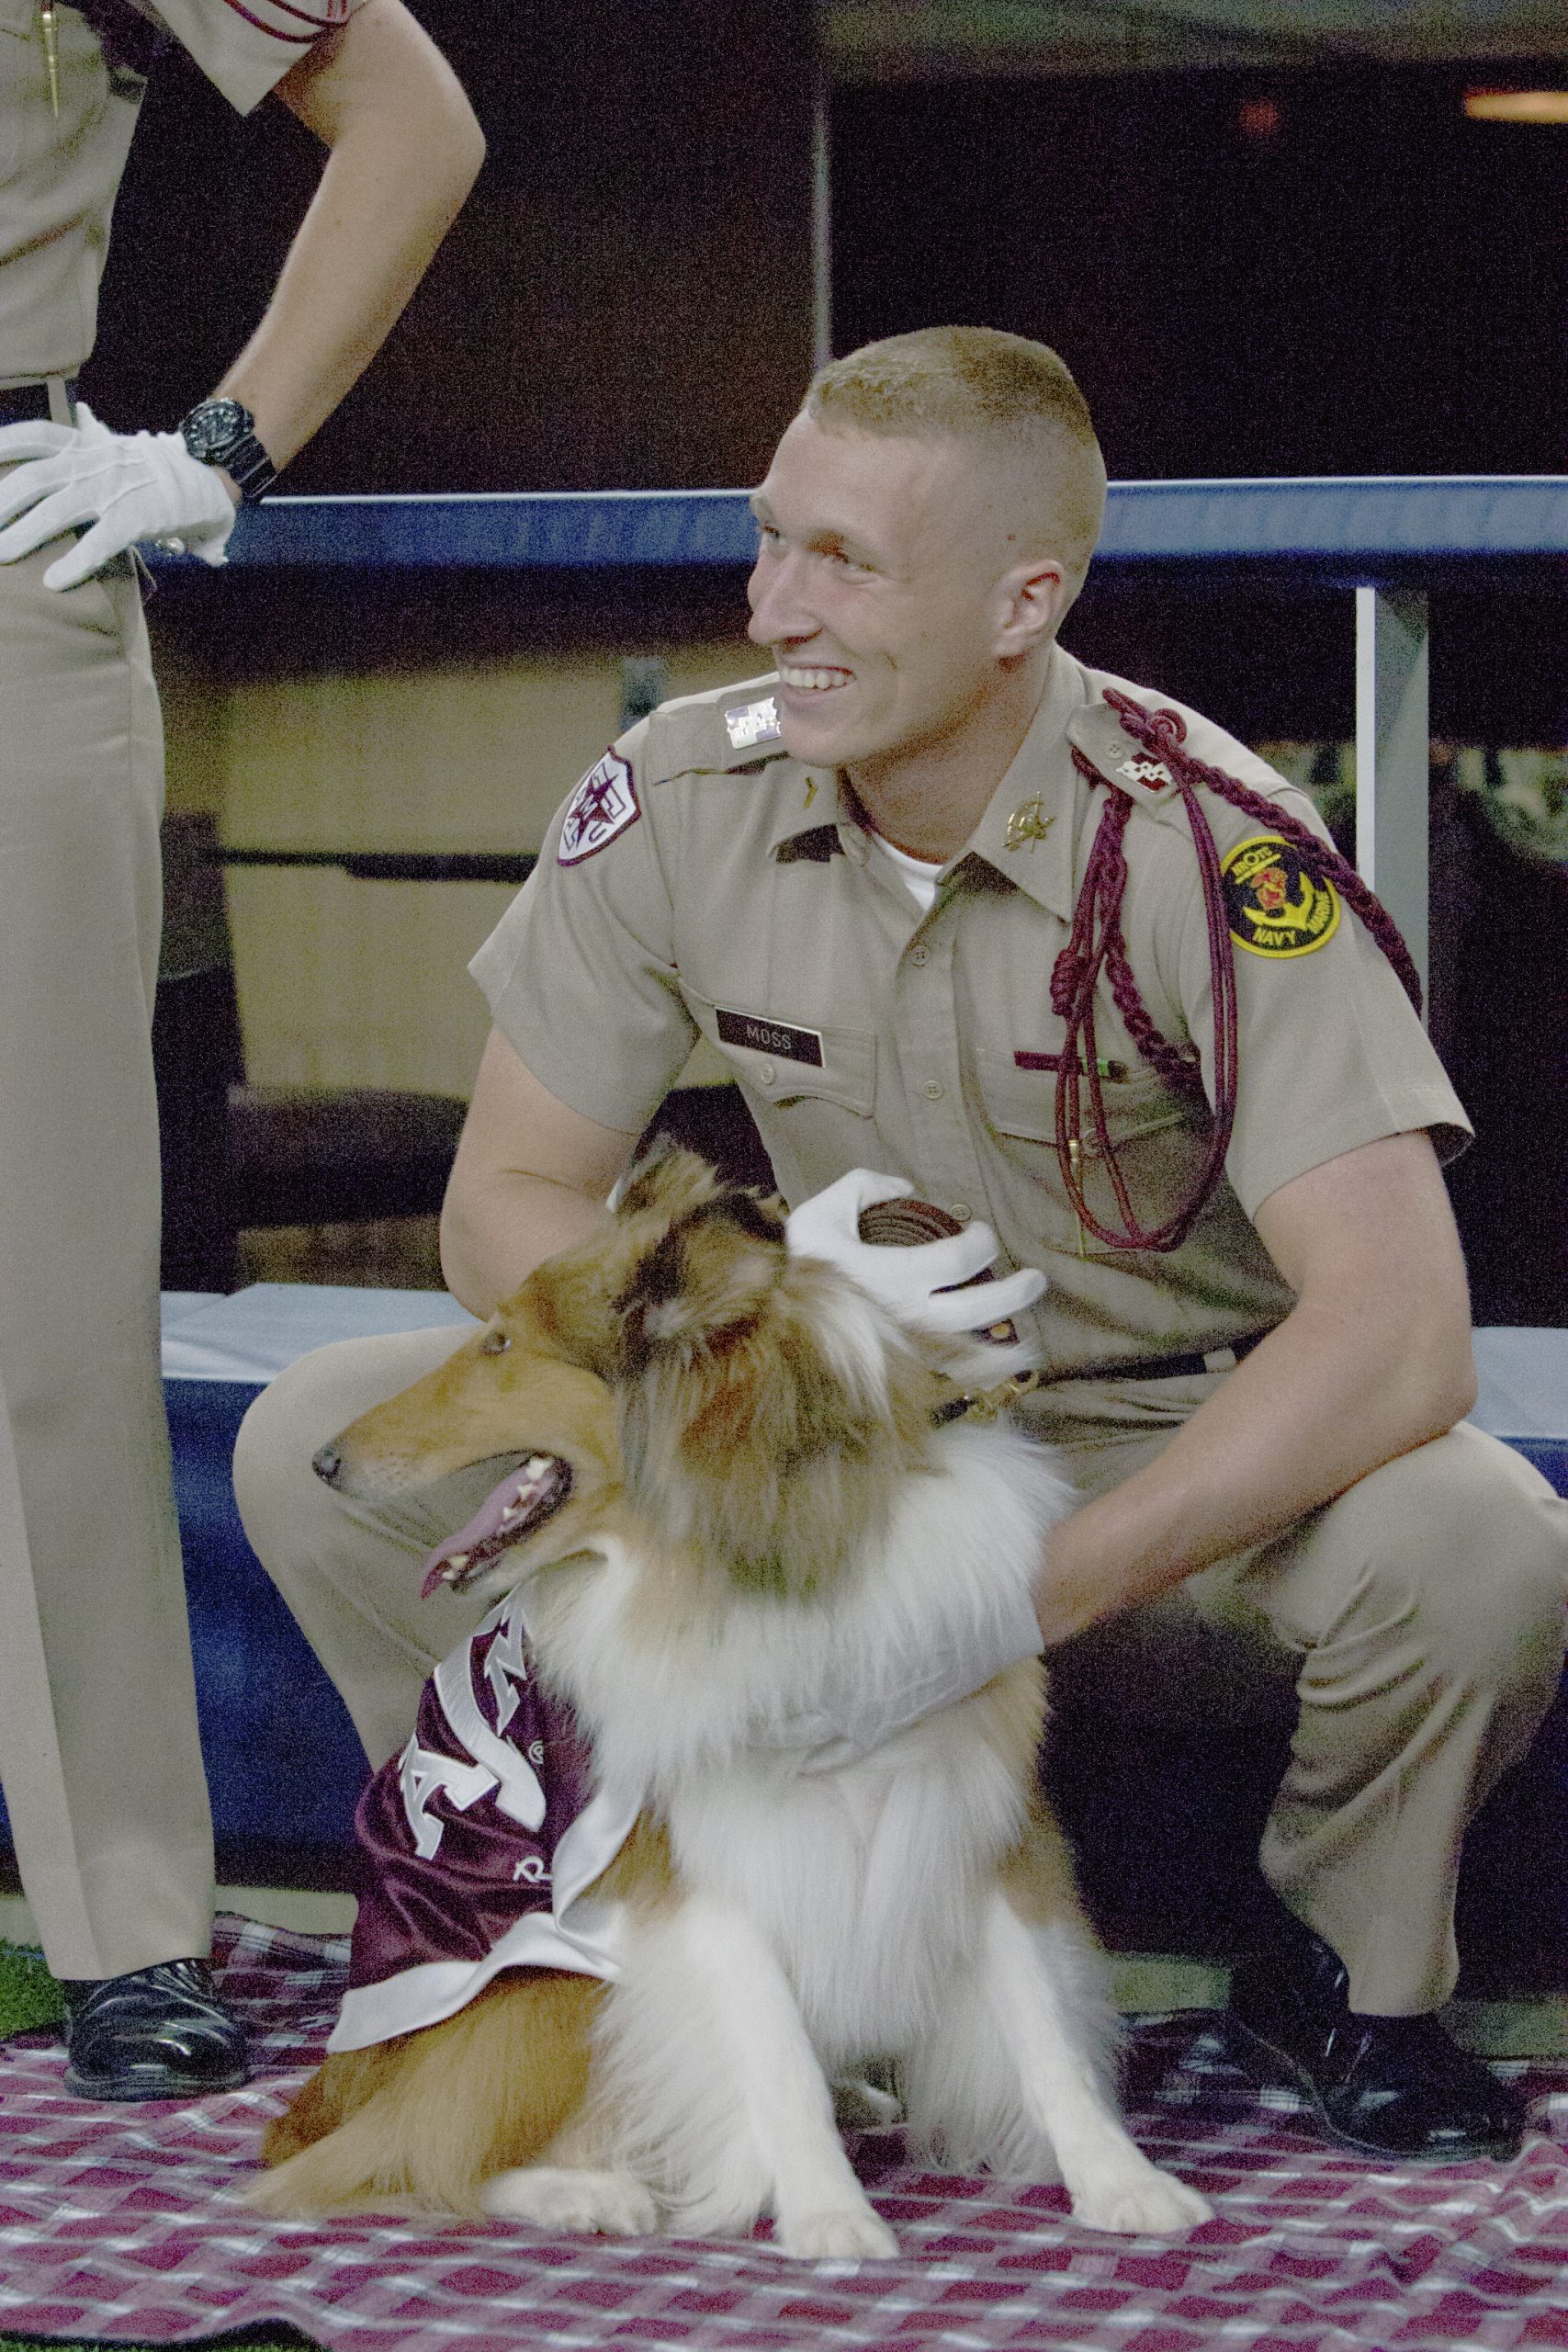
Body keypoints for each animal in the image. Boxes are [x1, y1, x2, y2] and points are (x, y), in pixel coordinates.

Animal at [261, 1157, 1213, 2257]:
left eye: (500, 1344)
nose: (324, 1461)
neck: (769, 1553)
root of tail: (332, 2087)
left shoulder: (978, 1806)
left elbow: (1043, 2031)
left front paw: (1123, 2184)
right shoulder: (697, 1863)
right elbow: (772, 2052)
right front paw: (831, 2217)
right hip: (546, 1988)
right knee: (412, 2154)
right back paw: (588, 2193)